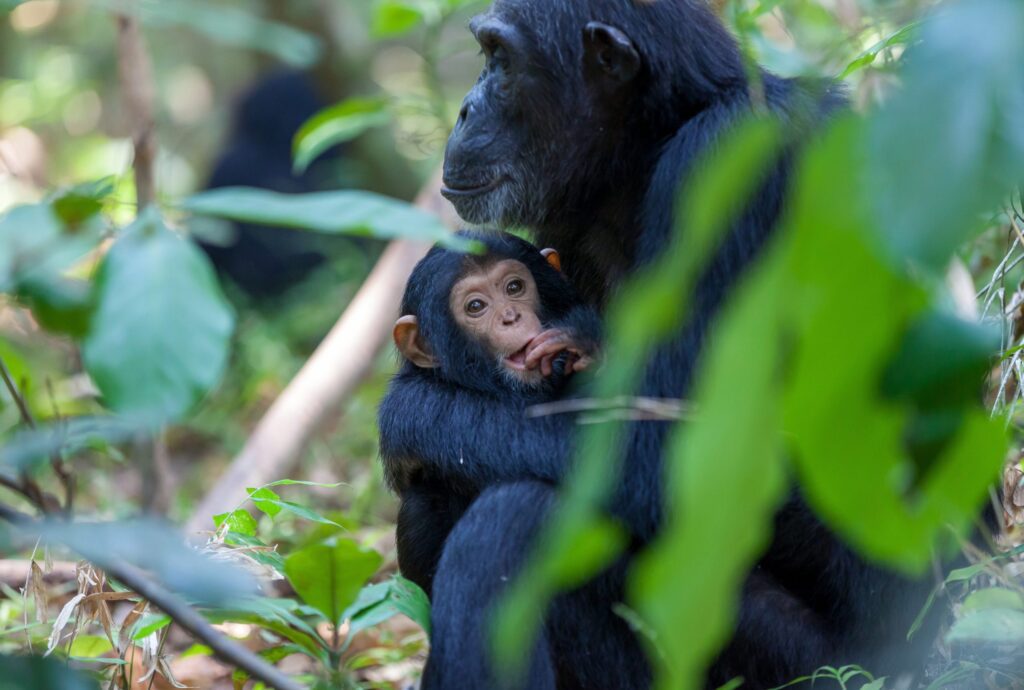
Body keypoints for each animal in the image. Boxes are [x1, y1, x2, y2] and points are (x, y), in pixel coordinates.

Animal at [376, 229, 598, 589]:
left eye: (514, 287)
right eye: (476, 306)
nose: (511, 316)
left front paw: (583, 340)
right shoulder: (418, 407)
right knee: (422, 501)